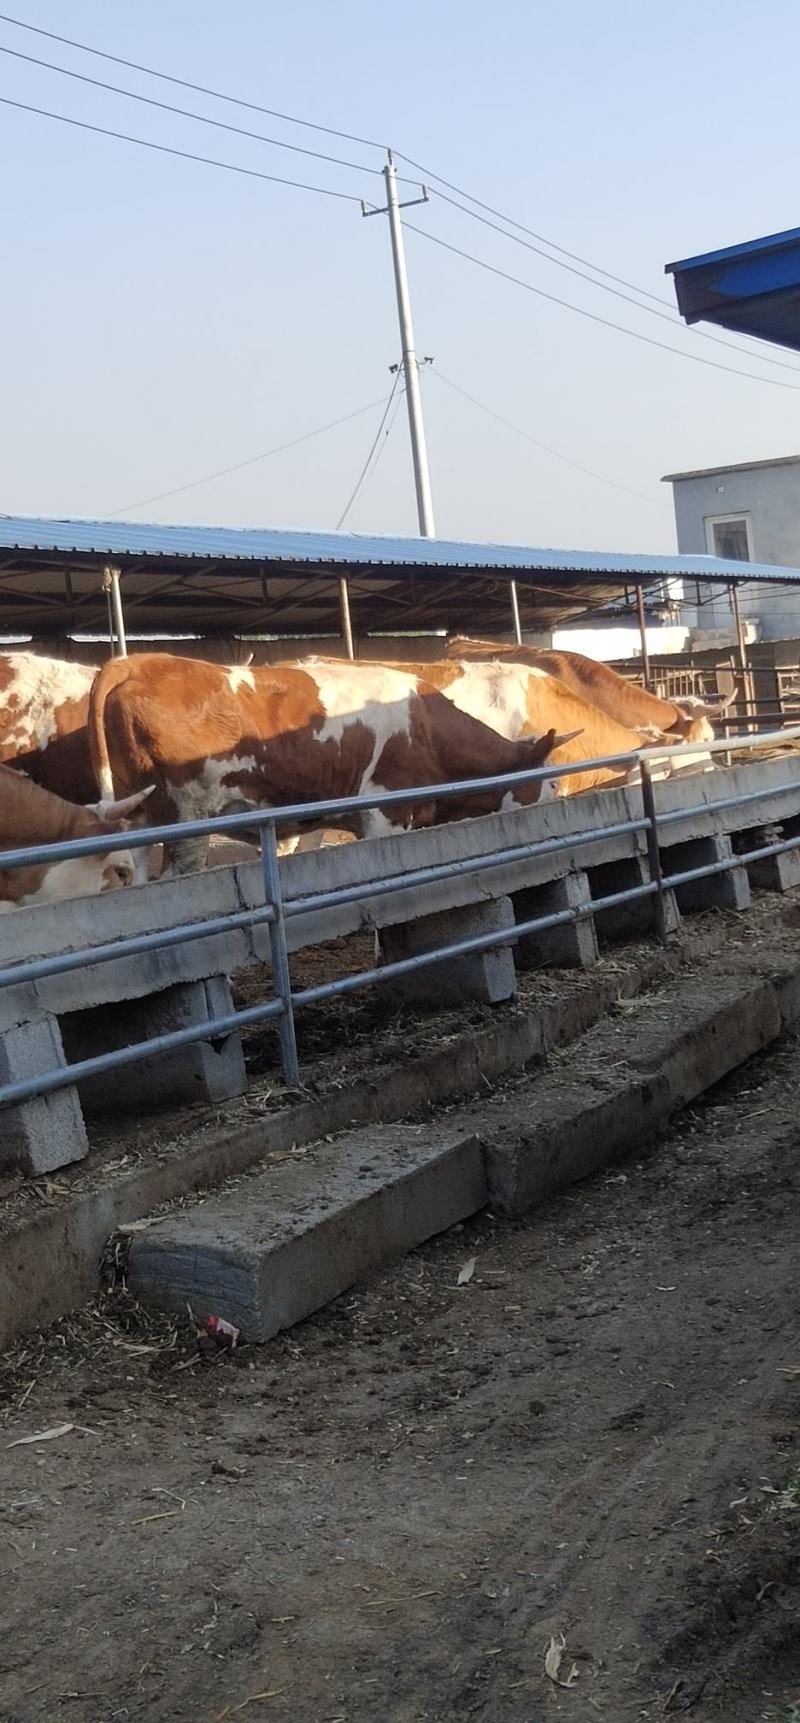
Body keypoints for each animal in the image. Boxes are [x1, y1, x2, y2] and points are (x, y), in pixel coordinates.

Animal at [87, 654, 575, 882]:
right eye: (548, 787)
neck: (427, 729)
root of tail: (139, 661)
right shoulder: (386, 813)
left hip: (139, 817)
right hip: (186, 818)